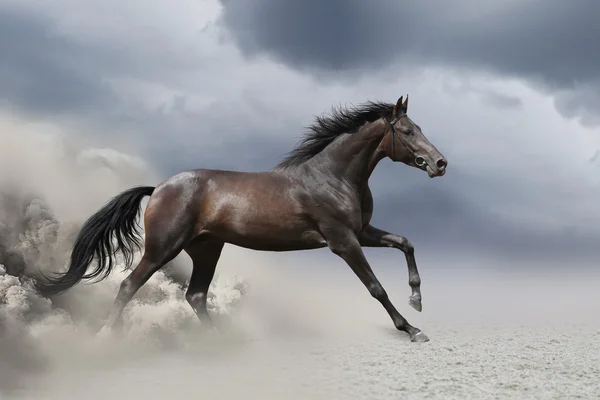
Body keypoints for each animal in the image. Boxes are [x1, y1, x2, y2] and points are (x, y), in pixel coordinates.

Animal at [36, 95, 446, 342]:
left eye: (420, 128)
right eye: (407, 131)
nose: (440, 163)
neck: (333, 175)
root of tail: (159, 187)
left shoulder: (361, 232)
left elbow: (406, 243)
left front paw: (417, 299)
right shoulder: (342, 240)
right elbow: (376, 287)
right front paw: (413, 329)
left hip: (206, 248)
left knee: (196, 295)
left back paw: (222, 342)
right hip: (163, 248)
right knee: (128, 286)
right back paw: (105, 337)